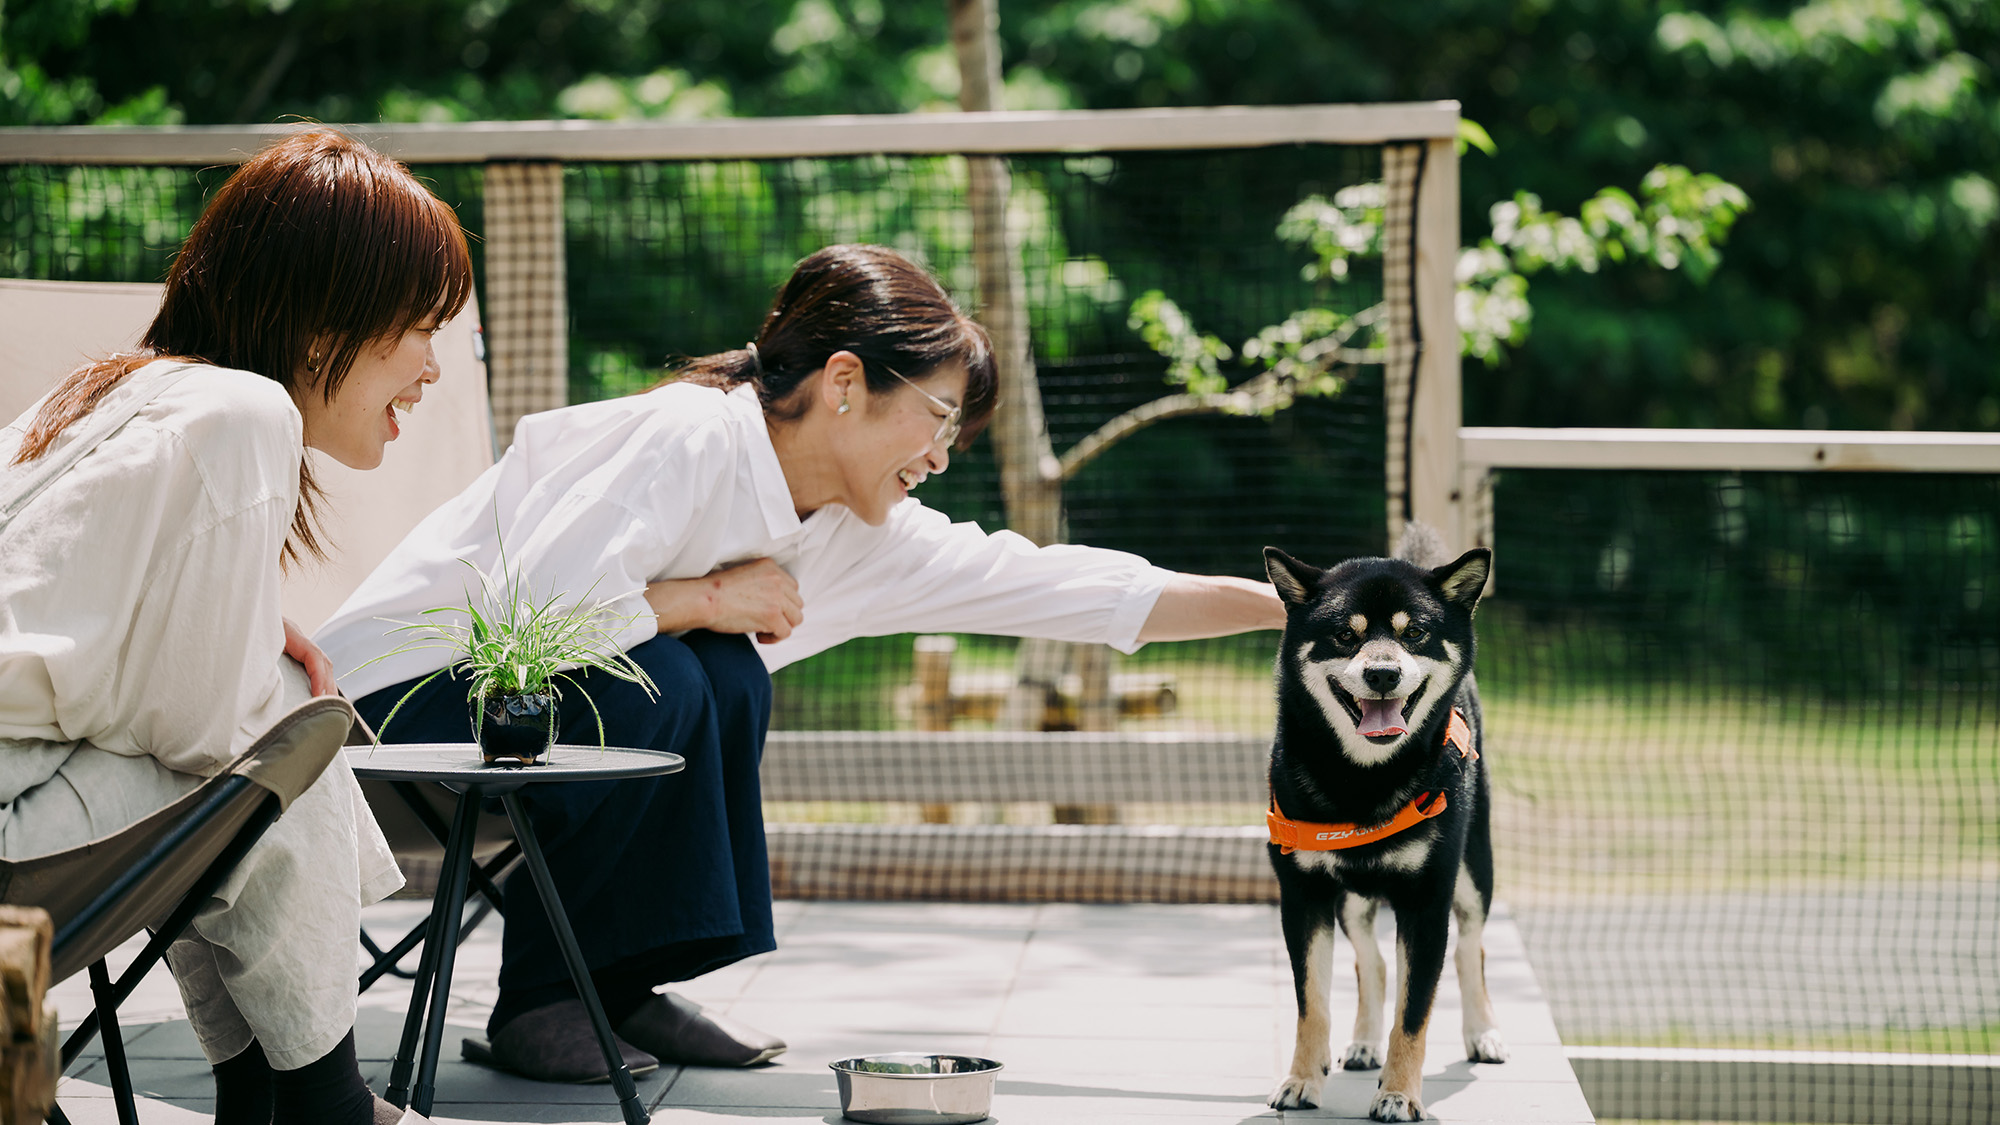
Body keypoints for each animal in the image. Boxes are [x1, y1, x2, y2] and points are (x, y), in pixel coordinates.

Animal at [1264, 528, 1504, 1120]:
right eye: (1344, 637)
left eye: (1414, 633)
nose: (1382, 673)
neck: (1364, 782)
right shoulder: (1303, 893)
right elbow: (1313, 1004)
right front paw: (1301, 1081)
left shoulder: (1427, 900)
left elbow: (1413, 1015)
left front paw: (1399, 1093)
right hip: (1353, 897)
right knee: (1370, 964)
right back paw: (1363, 1043)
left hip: (1474, 871)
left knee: (1472, 947)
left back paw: (1482, 1032)